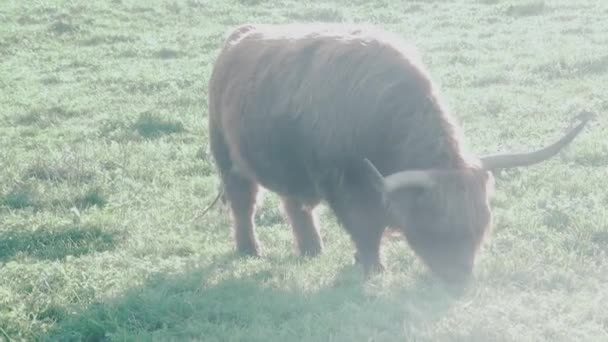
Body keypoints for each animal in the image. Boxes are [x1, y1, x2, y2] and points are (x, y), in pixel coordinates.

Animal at [207, 23, 592, 284]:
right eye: (435, 226)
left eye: (481, 224)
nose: (461, 281)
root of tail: (239, 36)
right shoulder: (348, 189)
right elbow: (366, 230)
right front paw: (373, 267)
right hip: (227, 155)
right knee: (243, 202)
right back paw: (250, 249)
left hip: (290, 167)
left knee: (295, 205)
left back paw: (312, 248)